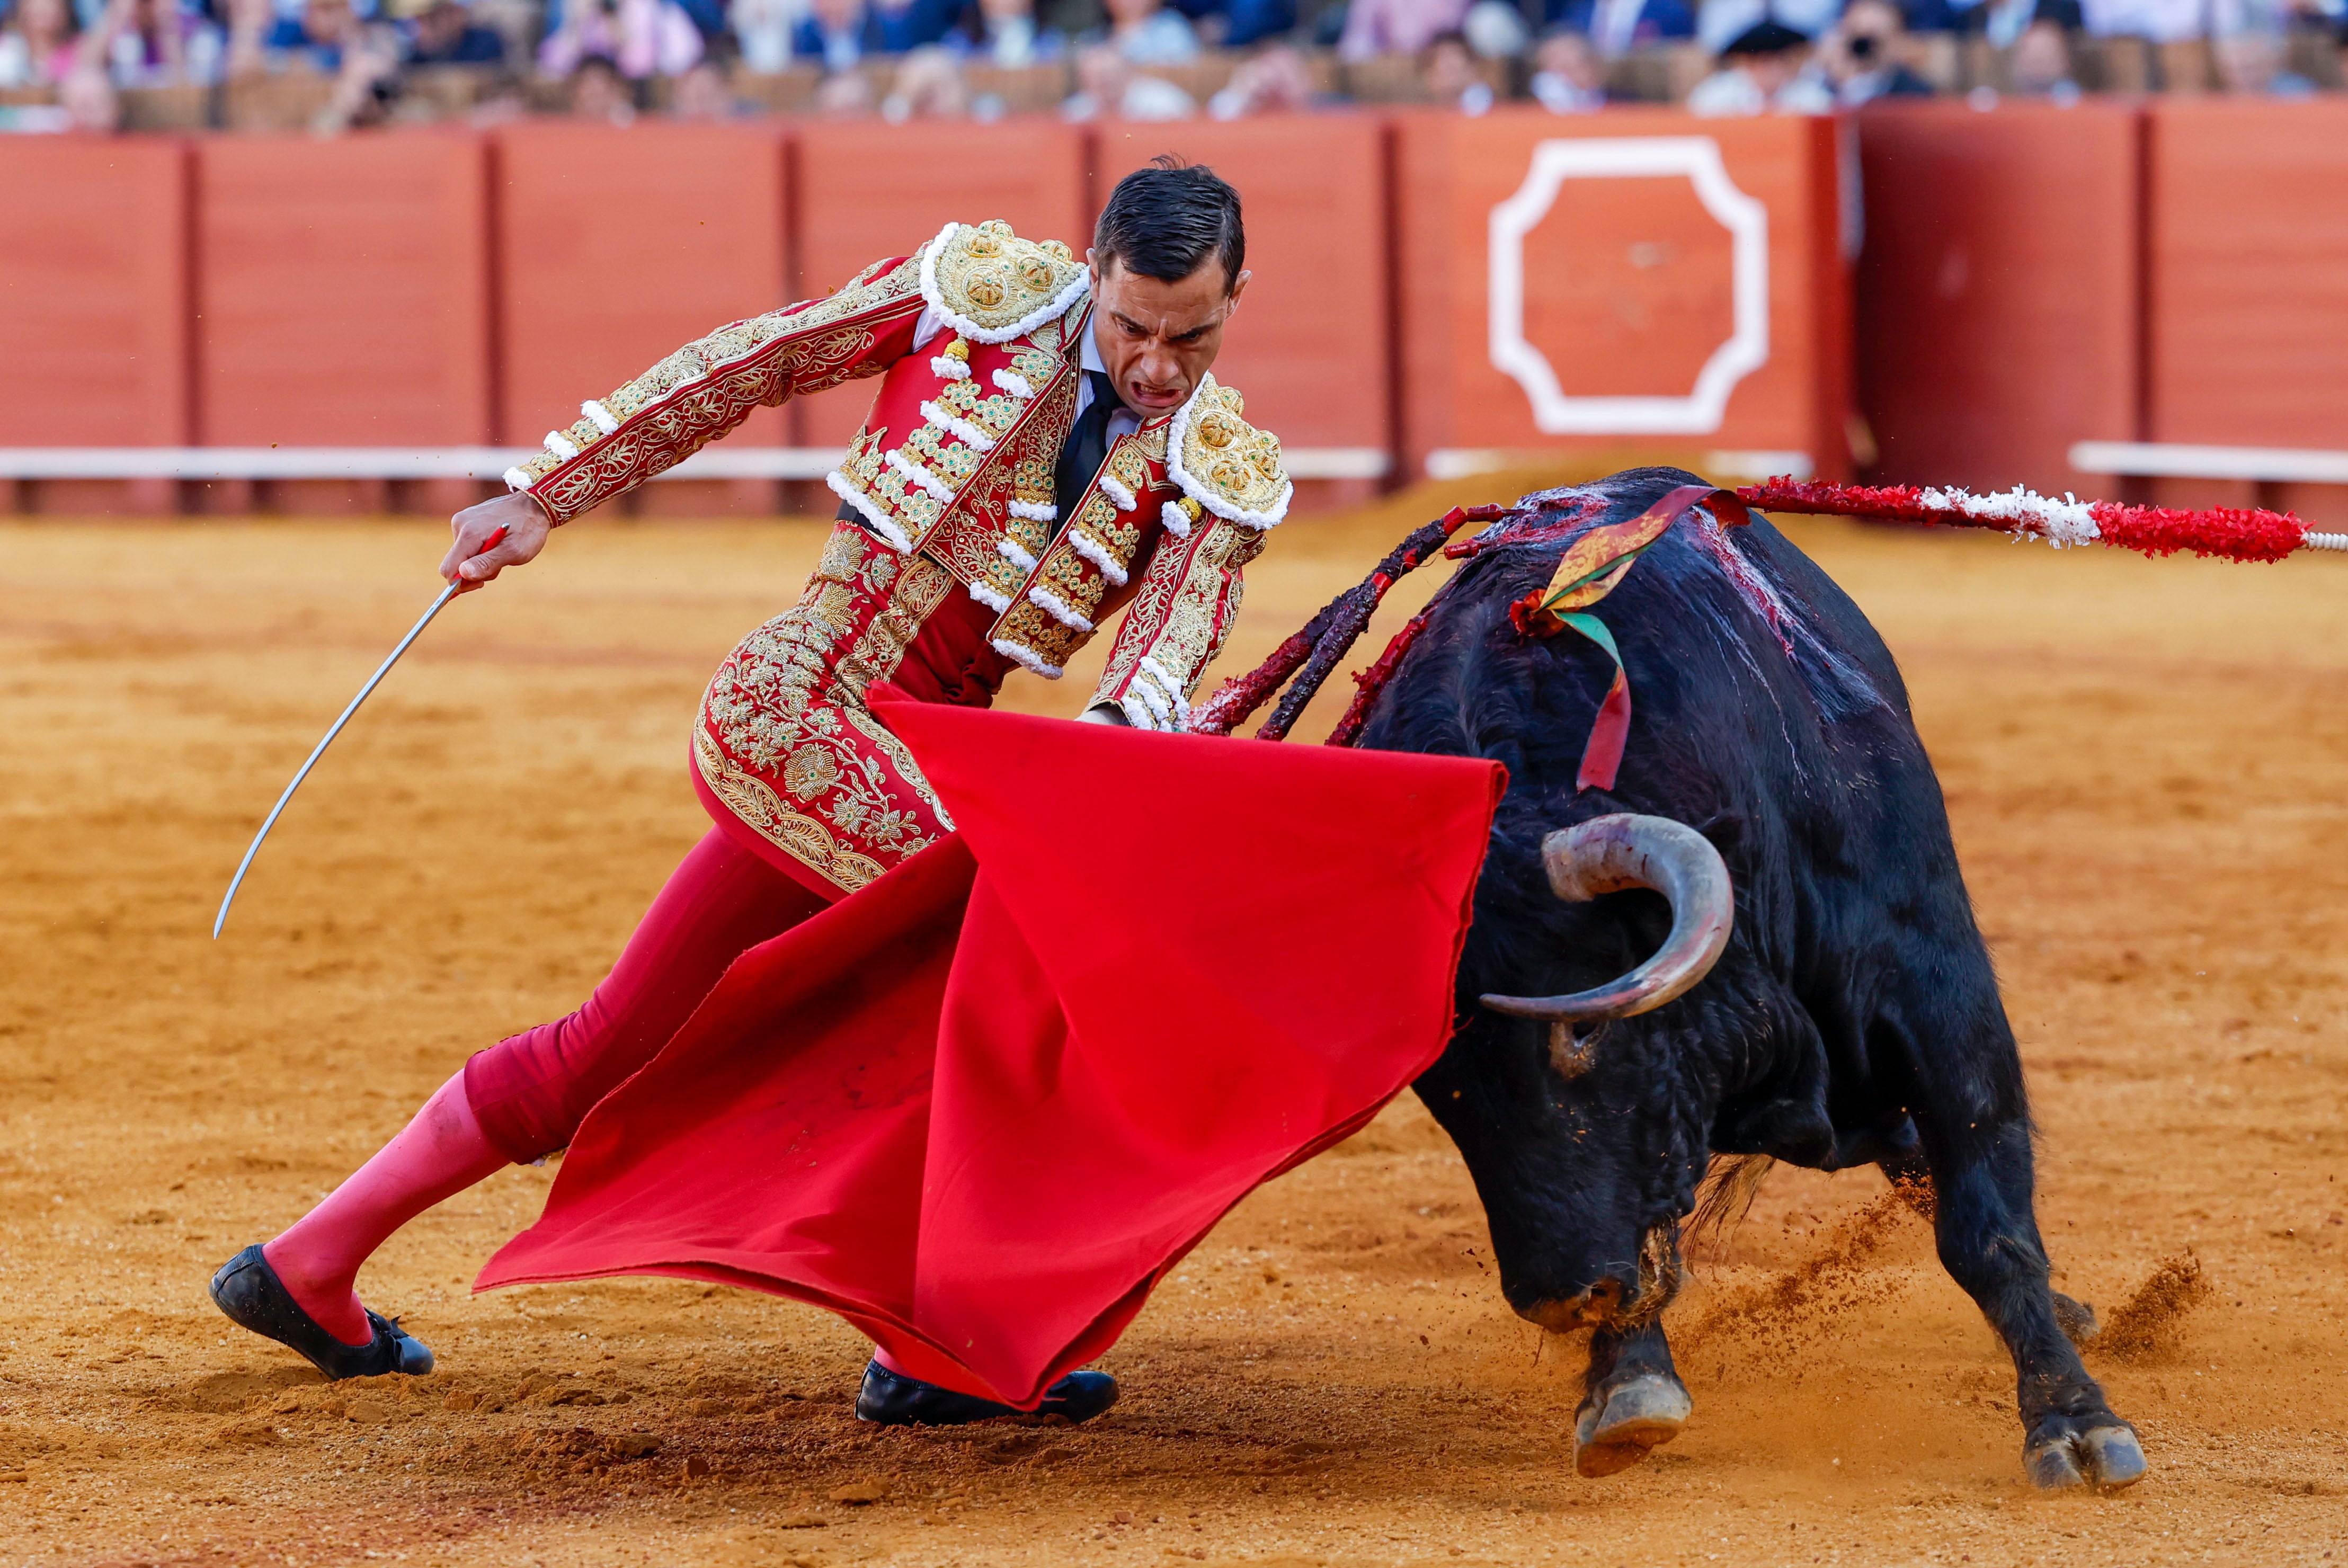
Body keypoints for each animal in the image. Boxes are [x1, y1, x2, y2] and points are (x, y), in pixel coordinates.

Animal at [1343, 469, 2150, 1493]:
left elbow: (1984, 1215)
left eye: (1583, 1030)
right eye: (1440, 1080)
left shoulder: (1938, 992)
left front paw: (2075, 1424)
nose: (1557, 1298)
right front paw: (1627, 1385)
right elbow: (1647, 1219)